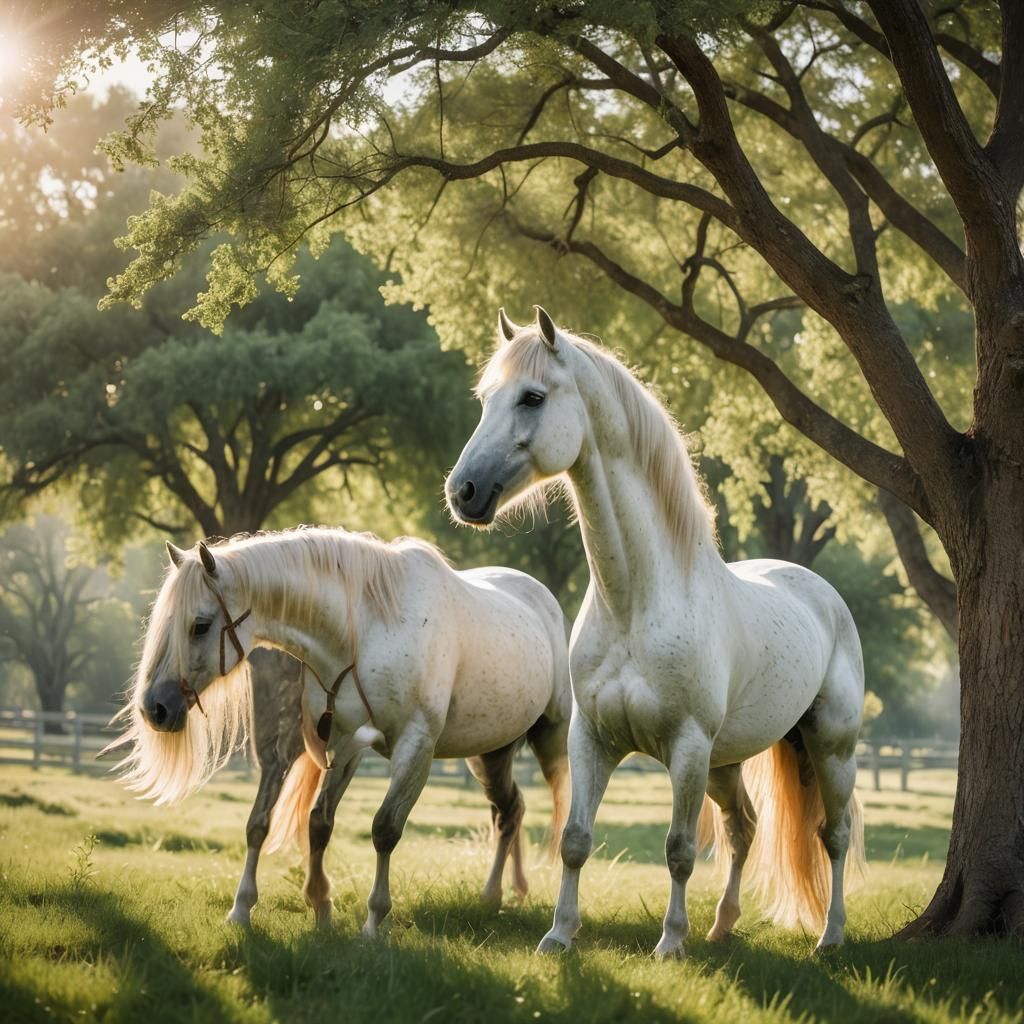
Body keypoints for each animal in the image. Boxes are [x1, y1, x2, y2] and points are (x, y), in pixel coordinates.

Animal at [110, 526, 572, 934]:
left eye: (200, 625)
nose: (155, 708)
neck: (367, 630)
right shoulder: (345, 742)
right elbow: (318, 823)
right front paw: (317, 907)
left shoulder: (415, 747)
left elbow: (385, 829)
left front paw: (373, 922)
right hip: (489, 754)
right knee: (509, 811)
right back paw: (495, 896)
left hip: (550, 741)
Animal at [446, 307, 865, 957]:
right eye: (485, 398)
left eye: (533, 397)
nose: (463, 492)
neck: (635, 606)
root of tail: (820, 593)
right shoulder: (591, 740)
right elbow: (575, 838)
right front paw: (558, 936)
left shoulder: (687, 747)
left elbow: (679, 849)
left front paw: (669, 945)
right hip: (725, 762)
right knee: (744, 829)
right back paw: (722, 927)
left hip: (828, 747)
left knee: (834, 834)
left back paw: (830, 936)